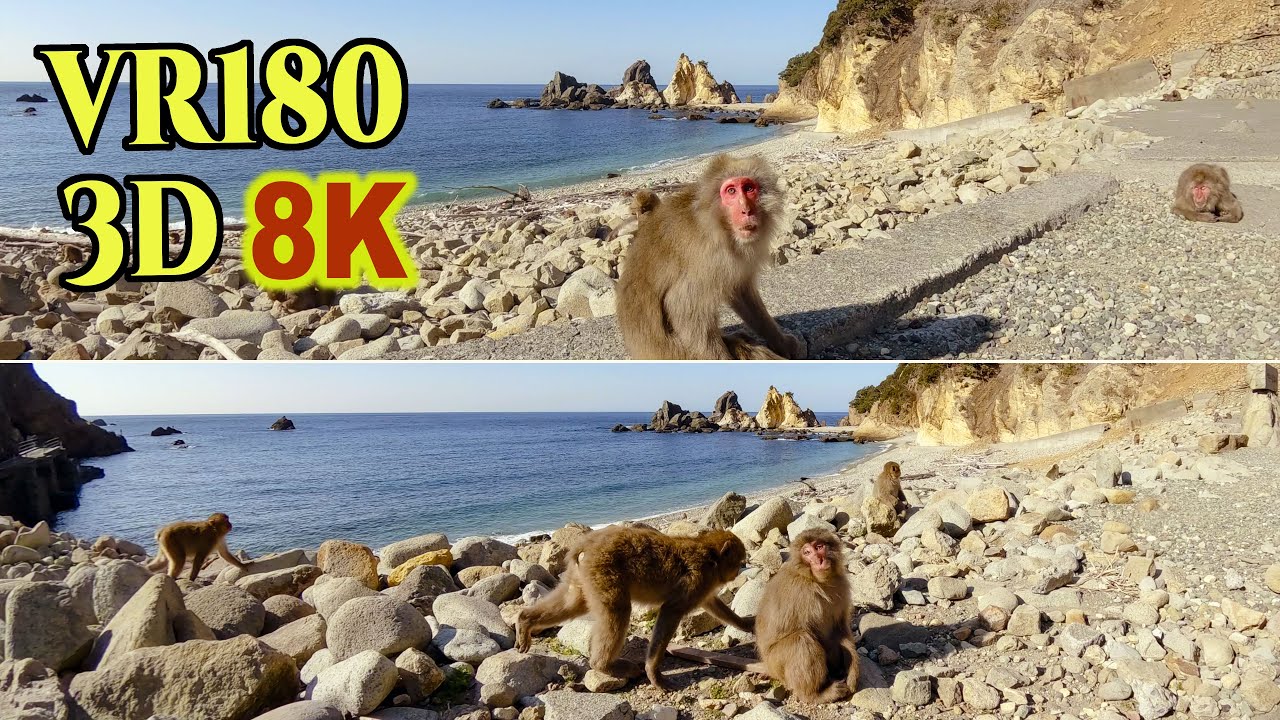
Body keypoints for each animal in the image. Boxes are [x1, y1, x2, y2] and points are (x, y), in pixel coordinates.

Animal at [515, 525, 753, 690]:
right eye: (739, 561)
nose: (738, 571)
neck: (710, 555)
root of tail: (587, 543)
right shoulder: (699, 579)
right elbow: (671, 610)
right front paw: (653, 672)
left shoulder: (704, 585)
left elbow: (711, 603)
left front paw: (745, 624)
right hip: (603, 572)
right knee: (618, 610)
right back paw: (603, 666)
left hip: (583, 576)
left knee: (572, 603)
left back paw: (525, 620)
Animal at [616, 154, 804, 361]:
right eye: (731, 191)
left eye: (748, 188)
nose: (746, 210)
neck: (721, 228)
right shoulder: (708, 258)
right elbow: (682, 307)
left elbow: (739, 290)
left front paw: (782, 342)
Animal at [750, 529, 859, 704]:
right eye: (807, 553)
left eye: (819, 547)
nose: (818, 560)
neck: (817, 580)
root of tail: (767, 664)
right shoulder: (802, 593)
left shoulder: (841, 585)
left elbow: (840, 629)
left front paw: (852, 671)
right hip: (776, 663)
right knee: (801, 641)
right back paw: (814, 694)